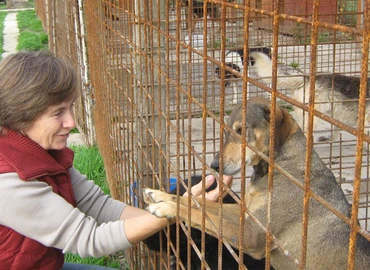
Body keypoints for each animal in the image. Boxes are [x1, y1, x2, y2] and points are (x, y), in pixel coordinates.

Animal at [144, 98, 370, 268]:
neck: (274, 169)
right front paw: (163, 196)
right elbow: (202, 204)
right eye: (226, 131)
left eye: (241, 130)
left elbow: (203, 215)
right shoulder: (247, 213)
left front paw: (167, 207)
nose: (214, 165)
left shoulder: (253, 234)